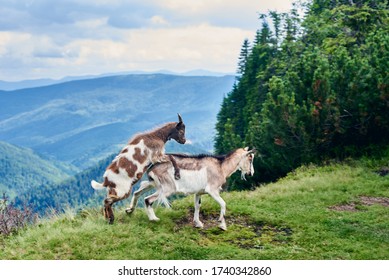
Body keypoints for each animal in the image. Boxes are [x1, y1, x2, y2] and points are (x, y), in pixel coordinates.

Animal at [126, 147, 256, 230]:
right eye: (250, 158)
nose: (251, 173)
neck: (221, 167)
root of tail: (152, 166)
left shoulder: (199, 192)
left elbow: (197, 206)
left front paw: (198, 223)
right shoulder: (212, 190)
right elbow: (223, 203)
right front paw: (222, 225)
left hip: (153, 184)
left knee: (138, 191)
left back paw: (129, 210)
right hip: (167, 188)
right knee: (148, 199)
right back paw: (153, 219)